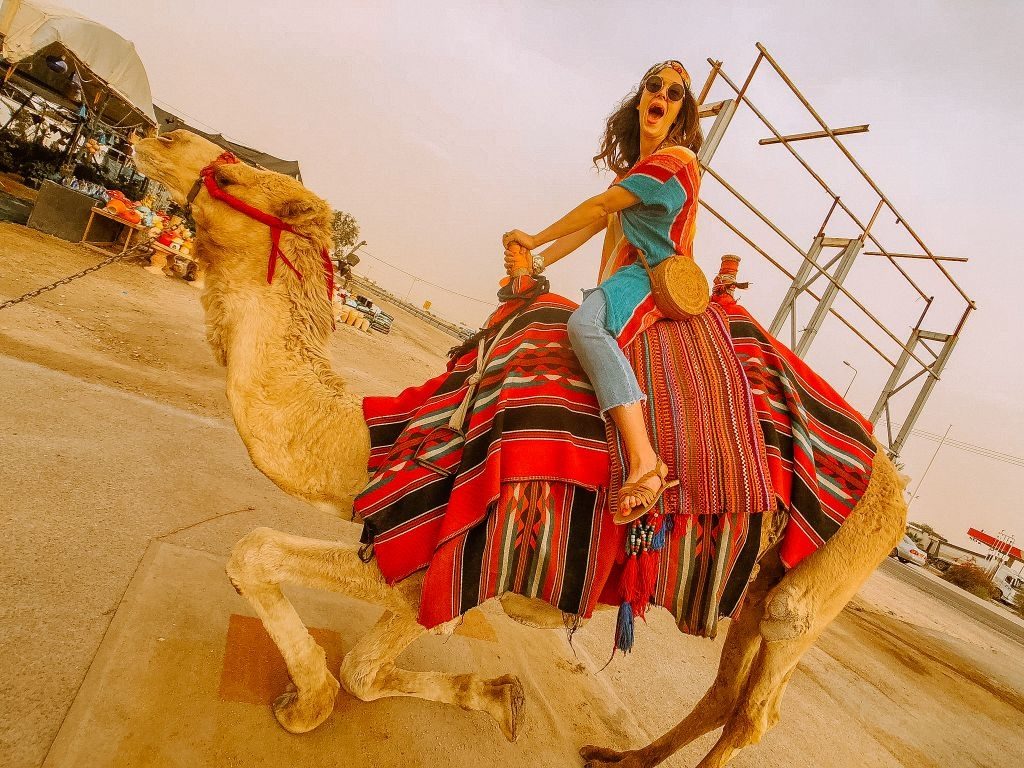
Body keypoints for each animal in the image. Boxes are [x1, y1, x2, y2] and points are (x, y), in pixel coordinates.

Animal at [134, 132, 905, 768]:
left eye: (230, 177)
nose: (154, 133)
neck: (381, 441)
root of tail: (896, 494)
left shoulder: (439, 557)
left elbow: (271, 570)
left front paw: (311, 704)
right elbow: (345, 649)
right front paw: (496, 693)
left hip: (813, 590)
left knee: (755, 711)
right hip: (762, 577)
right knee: (723, 691)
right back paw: (622, 758)